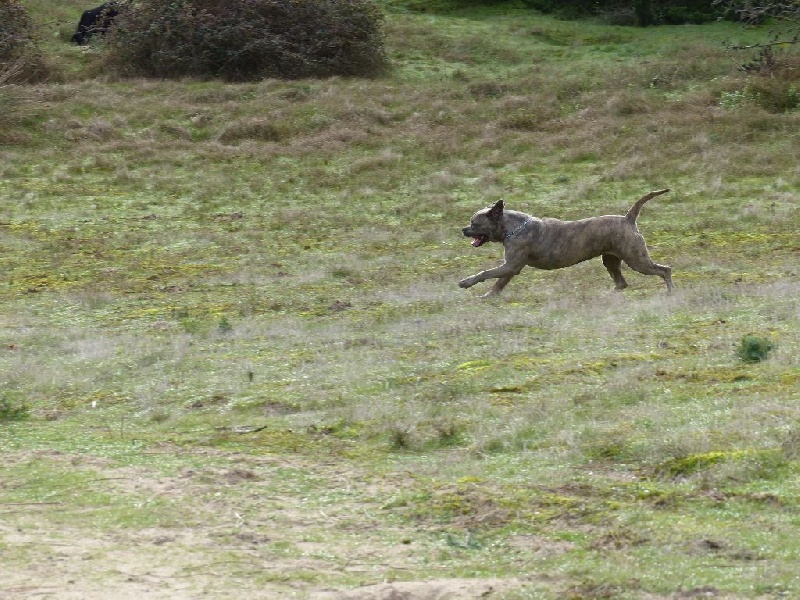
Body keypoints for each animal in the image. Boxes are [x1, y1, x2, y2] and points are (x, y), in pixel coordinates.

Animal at [456, 189, 676, 296]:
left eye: (474, 223)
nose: (463, 229)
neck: (512, 228)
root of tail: (628, 218)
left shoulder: (511, 265)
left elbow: (486, 273)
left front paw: (466, 282)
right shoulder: (510, 267)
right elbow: (499, 283)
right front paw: (489, 296)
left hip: (636, 259)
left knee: (664, 270)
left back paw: (670, 291)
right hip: (611, 260)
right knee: (621, 283)